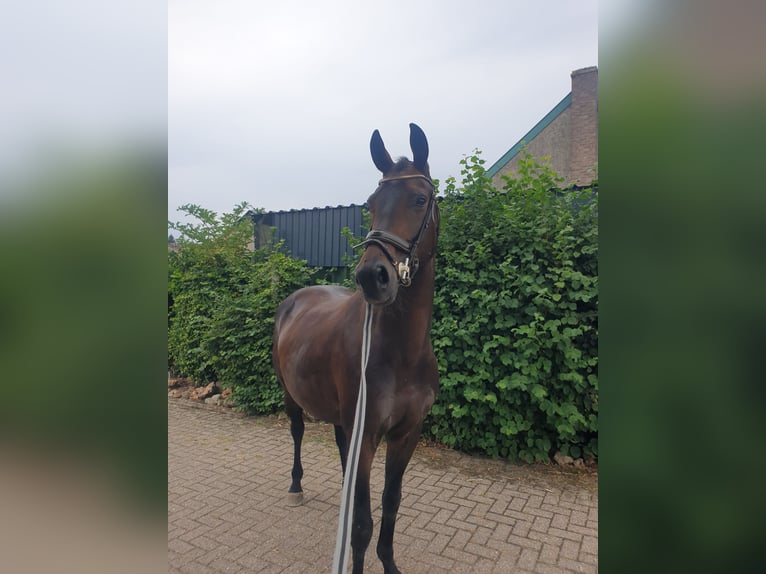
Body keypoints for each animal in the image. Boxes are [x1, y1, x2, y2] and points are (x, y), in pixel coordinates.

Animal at [272, 123, 440, 574]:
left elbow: (391, 503)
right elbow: (363, 524)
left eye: (420, 199)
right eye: (370, 204)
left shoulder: (406, 434)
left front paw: (391, 564)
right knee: (297, 432)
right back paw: (295, 487)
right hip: (291, 396)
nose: (371, 276)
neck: (402, 353)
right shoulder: (367, 433)